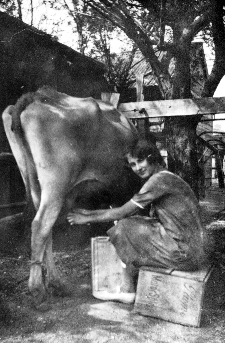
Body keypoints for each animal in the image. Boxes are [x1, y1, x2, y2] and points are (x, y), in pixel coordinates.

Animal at [2, 86, 140, 310]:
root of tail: (37, 95)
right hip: (56, 183)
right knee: (40, 225)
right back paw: (38, 291)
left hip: (34, 181)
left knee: (44, 229)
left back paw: (56, 283)